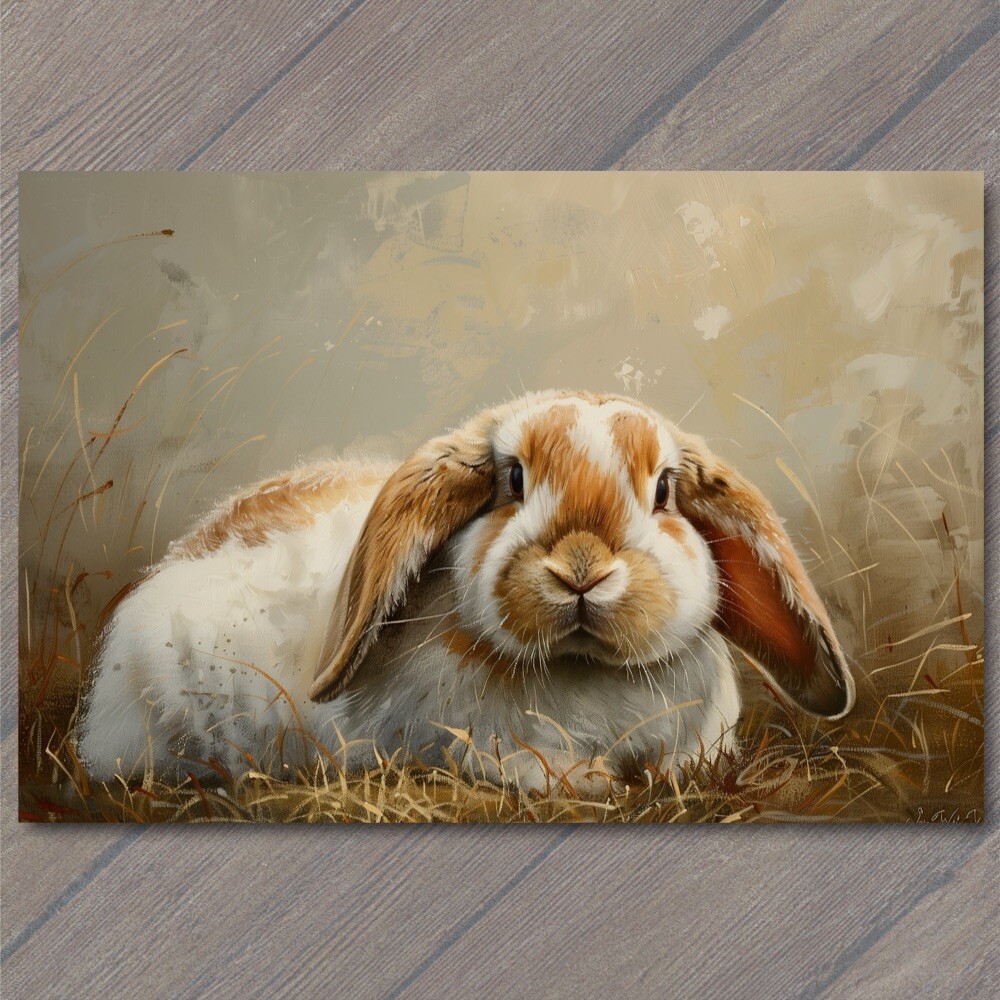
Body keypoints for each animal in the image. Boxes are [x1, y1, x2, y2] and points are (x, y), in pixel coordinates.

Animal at [76, 389, 854, 796]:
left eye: (662, 490)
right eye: (513, 479)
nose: (581, 566)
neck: (582, 672)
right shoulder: (458, 740)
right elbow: (536, 769)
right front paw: (593, 780)